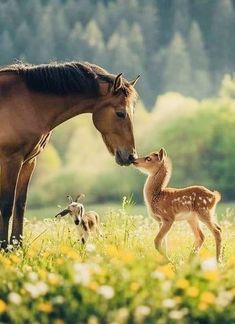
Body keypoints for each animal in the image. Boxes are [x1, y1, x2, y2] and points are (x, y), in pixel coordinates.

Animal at [0, 61, 140, 248]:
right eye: (120, 113)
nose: (131, 156)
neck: (26, 103)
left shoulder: (28, 162)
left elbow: (20, 205)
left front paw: (17, 247)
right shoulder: (11, 160)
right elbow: (6, 205)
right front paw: (4, 247)